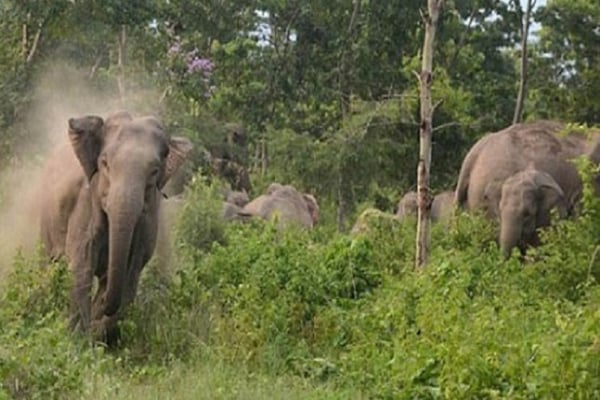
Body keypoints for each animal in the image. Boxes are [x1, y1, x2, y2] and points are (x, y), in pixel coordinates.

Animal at [38, 111, 192, 344]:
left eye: (154, 172)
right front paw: (79, 339)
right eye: (105, 164)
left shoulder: (147, 220)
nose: (99, 312)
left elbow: (131, 272)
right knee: (51, 262)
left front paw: (98, 335)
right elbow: (82, 264)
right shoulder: (86, 203)